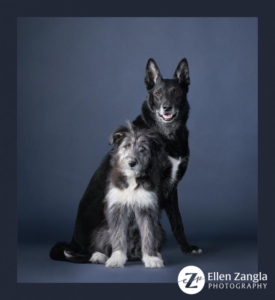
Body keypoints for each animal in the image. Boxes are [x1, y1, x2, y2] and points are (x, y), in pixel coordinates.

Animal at [51, 120, 166, 268]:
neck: (131, 178)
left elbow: (148, 234)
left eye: (143, 149)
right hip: (101, 230)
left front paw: (151, 258)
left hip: (160, 231)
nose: (132, 163)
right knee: (103, 244)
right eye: (127, 145)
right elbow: (118, 235)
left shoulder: (147, 208)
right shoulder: (117, 207)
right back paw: (99, 256)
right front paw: (116, 258)